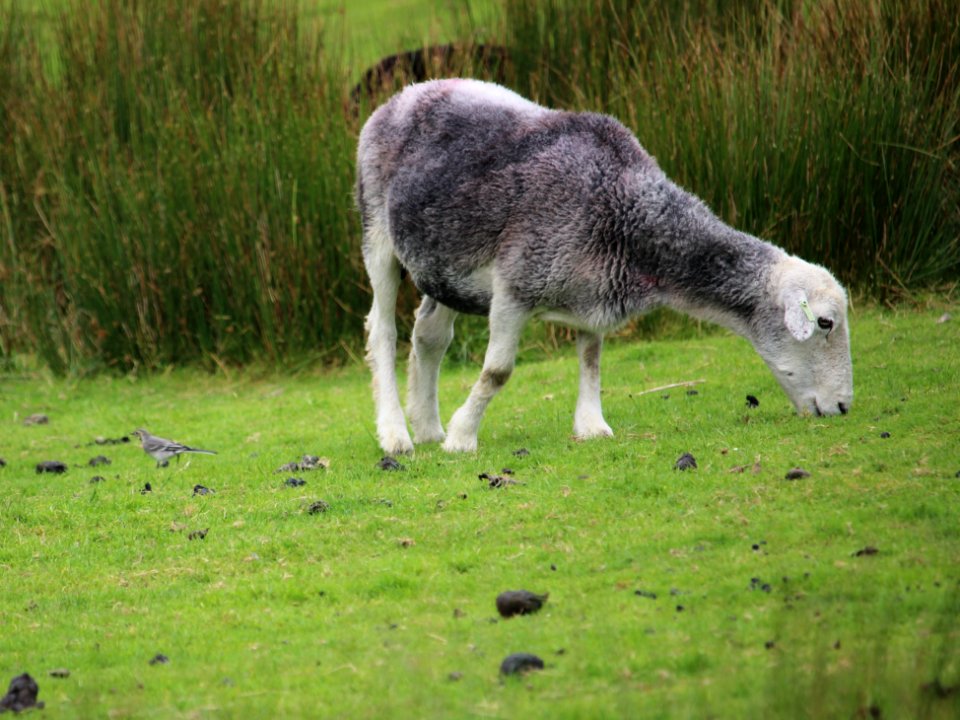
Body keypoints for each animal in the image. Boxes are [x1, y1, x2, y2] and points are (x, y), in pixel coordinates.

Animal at [356, 77, 852, 450]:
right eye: (825, 323)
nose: (845, 407)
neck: (627, 214)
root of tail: (406, 93)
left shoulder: (591, 294)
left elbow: (592, 360)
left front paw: (592, 426)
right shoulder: (516, 286)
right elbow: (498, 372)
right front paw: (462, 438)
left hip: (443, 265)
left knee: (429, 335)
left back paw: (427, 427)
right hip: (376, 231)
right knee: (382, 330)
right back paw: (397, 434)